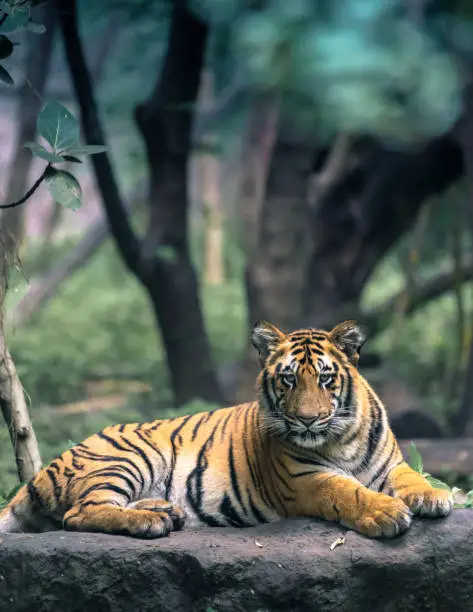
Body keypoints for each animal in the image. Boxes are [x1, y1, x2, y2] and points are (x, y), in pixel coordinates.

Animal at [0, 320, 452, 540]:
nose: (307, 419)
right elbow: (347, 491)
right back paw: (148, 522)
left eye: (325, 379)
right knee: (79, 513)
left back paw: (165, 510)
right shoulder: (305, 480)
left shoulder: (390, 464)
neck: (341, 439)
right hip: (128, 456)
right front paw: (386, 513)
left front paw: (434, 496)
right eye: (288, 380)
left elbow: (412, 476)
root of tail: (43, 472)